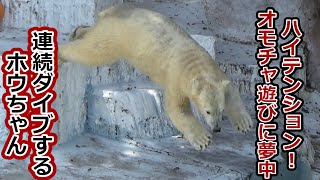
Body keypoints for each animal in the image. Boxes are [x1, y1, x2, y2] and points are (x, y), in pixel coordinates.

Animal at [57, 4, 252, 150]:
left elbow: (231, 90)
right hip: (117, 36)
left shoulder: (215, 70)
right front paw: (202, 139)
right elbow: (176, 108)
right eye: (207, 111)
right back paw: (61, 53)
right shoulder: (177, 77)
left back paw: (78, 31)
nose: (217, 128)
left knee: (92, 35)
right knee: (93, 51)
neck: (197, 65)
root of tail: (114, 12)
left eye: (221, 109)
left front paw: (244, 123)